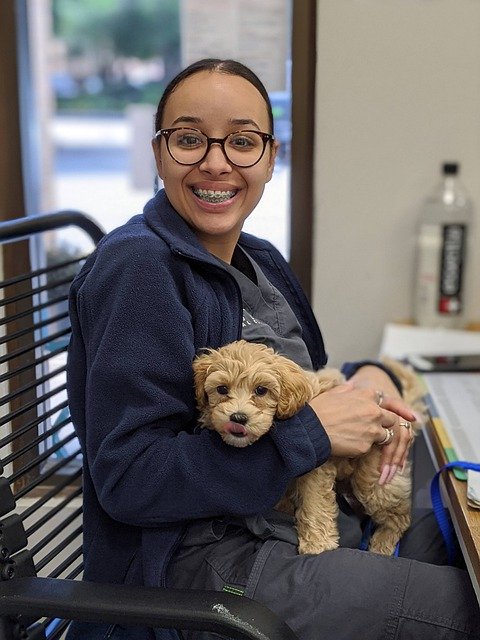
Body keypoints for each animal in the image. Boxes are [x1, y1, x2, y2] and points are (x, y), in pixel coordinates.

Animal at [192, 340, 424, 556]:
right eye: (222, 389)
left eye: (261, 390)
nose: (238, 418)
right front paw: (286, 511)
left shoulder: (317, 468)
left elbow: (314, 501)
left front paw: (317, 543)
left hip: (373, 481)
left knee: (400, 515)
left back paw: (382, 544)